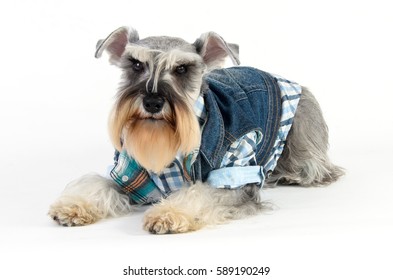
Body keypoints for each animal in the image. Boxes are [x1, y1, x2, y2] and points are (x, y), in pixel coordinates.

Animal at [48, 26, 344, 233]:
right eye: (136, 64)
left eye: (181, 68)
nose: (152, 102)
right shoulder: (129, 173)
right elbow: (98, 183)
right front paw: (73, 206)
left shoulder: (235, 173)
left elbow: (201, 192)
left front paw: (168, 214)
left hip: (303, 142)